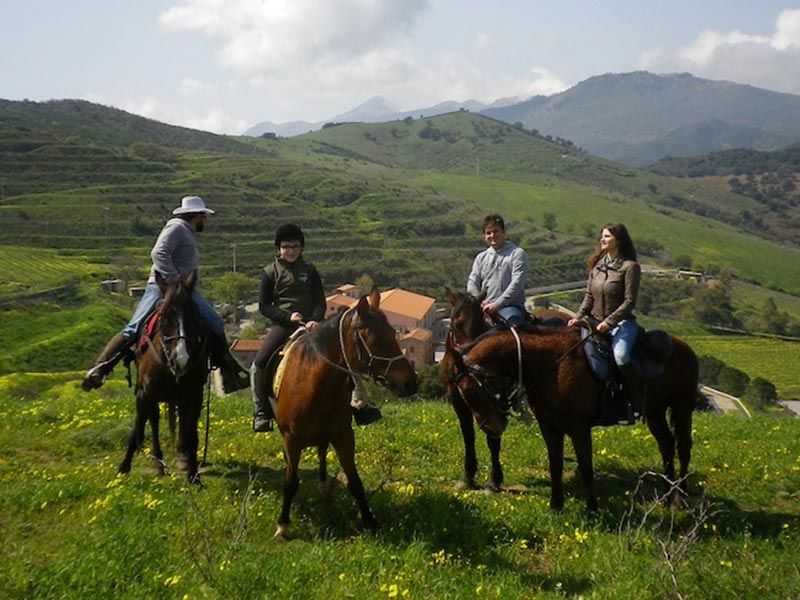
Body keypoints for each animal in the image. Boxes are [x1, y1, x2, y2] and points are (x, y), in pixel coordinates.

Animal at [117, 270, 209, 482]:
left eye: (193, 313)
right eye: (164, 314)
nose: (181, 358)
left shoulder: (194, 396)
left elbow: (191, 435)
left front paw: (194, 475)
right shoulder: (144, 395)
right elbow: (138, 428)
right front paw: (124, 467)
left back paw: (181, 457)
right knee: (154, 420)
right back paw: (157, 462)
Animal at [274, 288, 416, 536]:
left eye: (393, 332)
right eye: (375, 340)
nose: (411, 384)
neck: (313, 385)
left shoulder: (343, 436)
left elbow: (355, 481)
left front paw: (370, 521)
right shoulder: (291, 440)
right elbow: (290, 482)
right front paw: (283, 525)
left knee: (321, 450)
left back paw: (323, 485)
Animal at [444, 288, 568, 492]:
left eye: (480, 321)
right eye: (456, 325)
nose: (466, 356)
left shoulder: (496, 402)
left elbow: (493, 440)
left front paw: (494, 481)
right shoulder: (459, 401)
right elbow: (468, 436)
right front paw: (467, 477)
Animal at [450, 324, 700, 510]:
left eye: (468, 391)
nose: (491, 427)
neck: (551, 366)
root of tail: (685, 348)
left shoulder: (579, 428)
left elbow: (586, 467)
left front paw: (592, 508)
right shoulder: (550, 427)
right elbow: (555, 465)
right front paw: (555, 505)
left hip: (682, 406)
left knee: (683, 448)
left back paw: (680, 497)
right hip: (655, 412)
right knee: (666, 444)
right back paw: (667, 496)